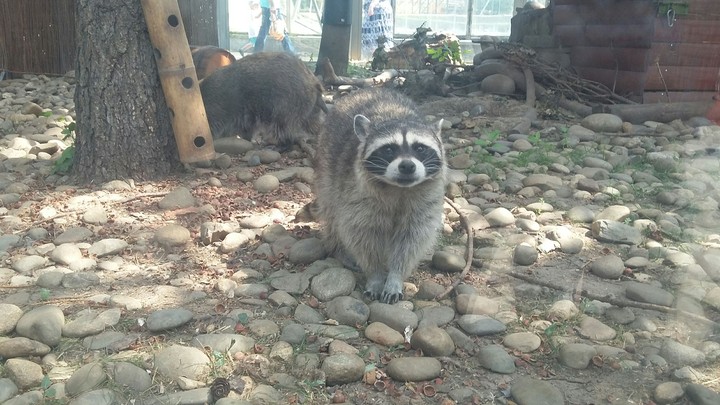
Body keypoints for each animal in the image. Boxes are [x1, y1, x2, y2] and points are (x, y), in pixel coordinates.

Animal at [199, 52, 327, 147]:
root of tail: (314, 82)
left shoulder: (216, 112)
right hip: (309, 108)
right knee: (312, 123)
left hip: (288, 104)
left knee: (283, 126)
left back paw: (275, 141)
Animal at [313, 88, 447, 304]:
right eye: (389, 149)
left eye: (420, 148)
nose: (407, 166)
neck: (398, 188)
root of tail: (368, 89)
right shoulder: (356, 193)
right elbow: (362, 235)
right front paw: (375, 275)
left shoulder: (426, 200)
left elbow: (411, 240)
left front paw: (395, 276)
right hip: (326, 163)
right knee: (331, 210)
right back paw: (338, 248)